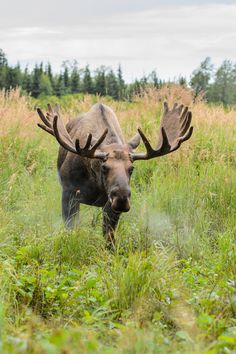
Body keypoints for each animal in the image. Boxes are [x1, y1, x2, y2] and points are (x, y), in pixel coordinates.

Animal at [36, 102, 192, 246]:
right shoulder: (69, 191)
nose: (122, 198)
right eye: (104, 167)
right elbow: (70, 227)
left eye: (131, 168)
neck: (95, 182)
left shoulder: (109, 205)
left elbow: (109, 234)